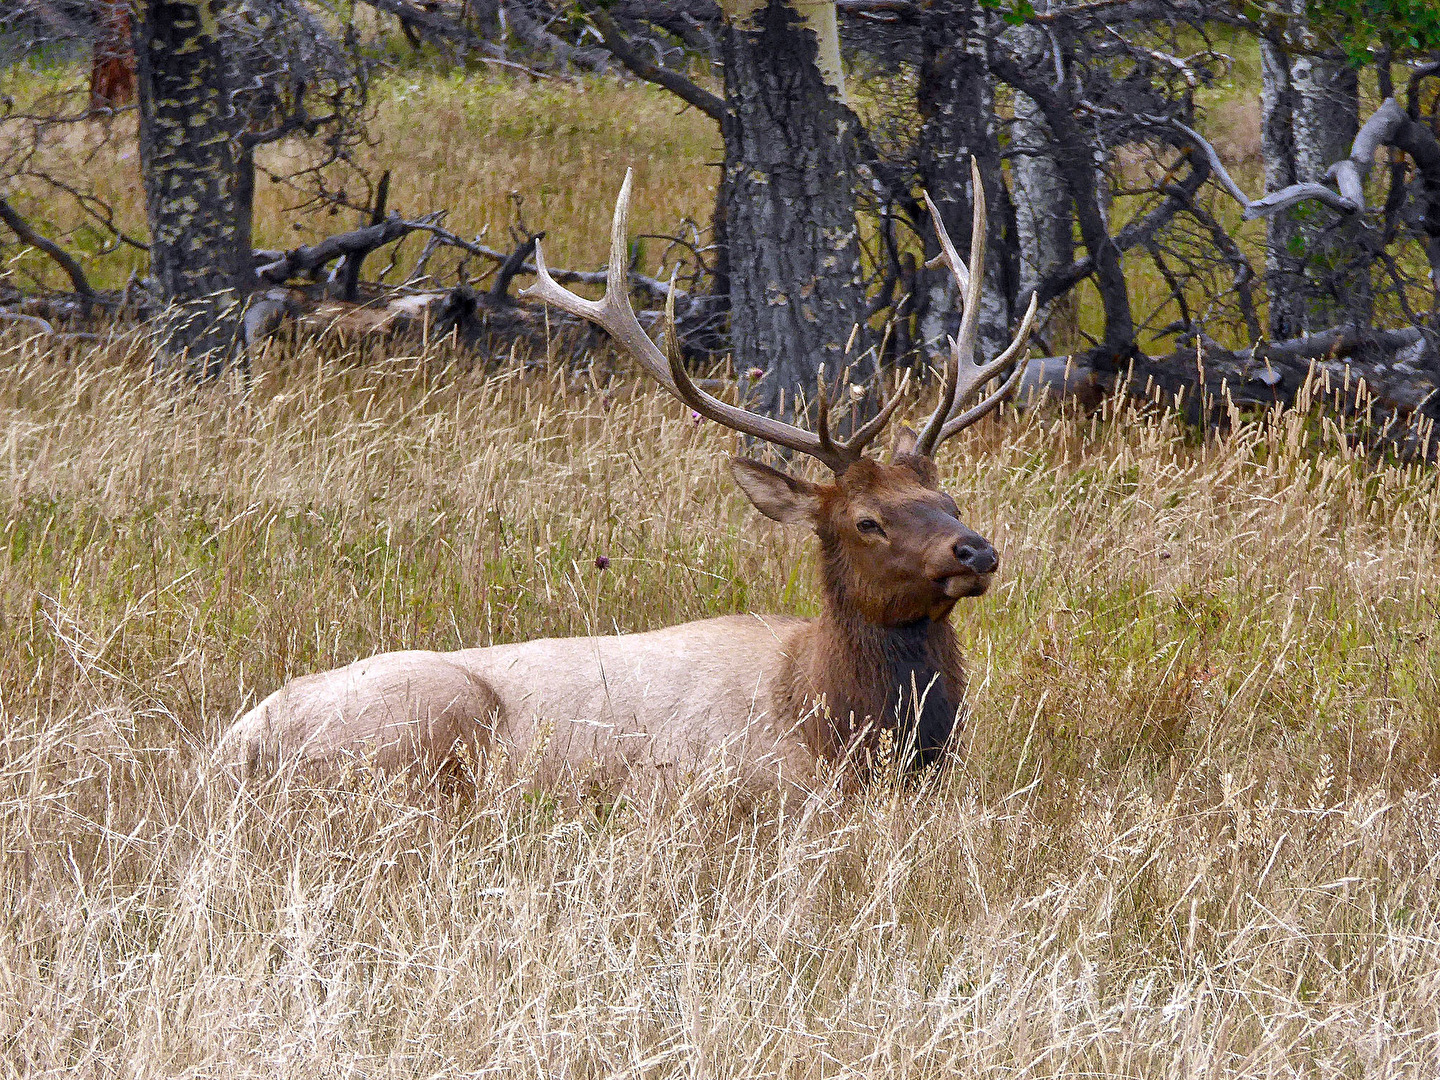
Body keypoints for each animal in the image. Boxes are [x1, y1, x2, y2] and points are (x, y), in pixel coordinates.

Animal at [218, 167, 1036, 794]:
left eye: (948, 499)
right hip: (424, 719)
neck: (830, 717)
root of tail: (235, 744)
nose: (974, 549)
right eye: (866, 520)